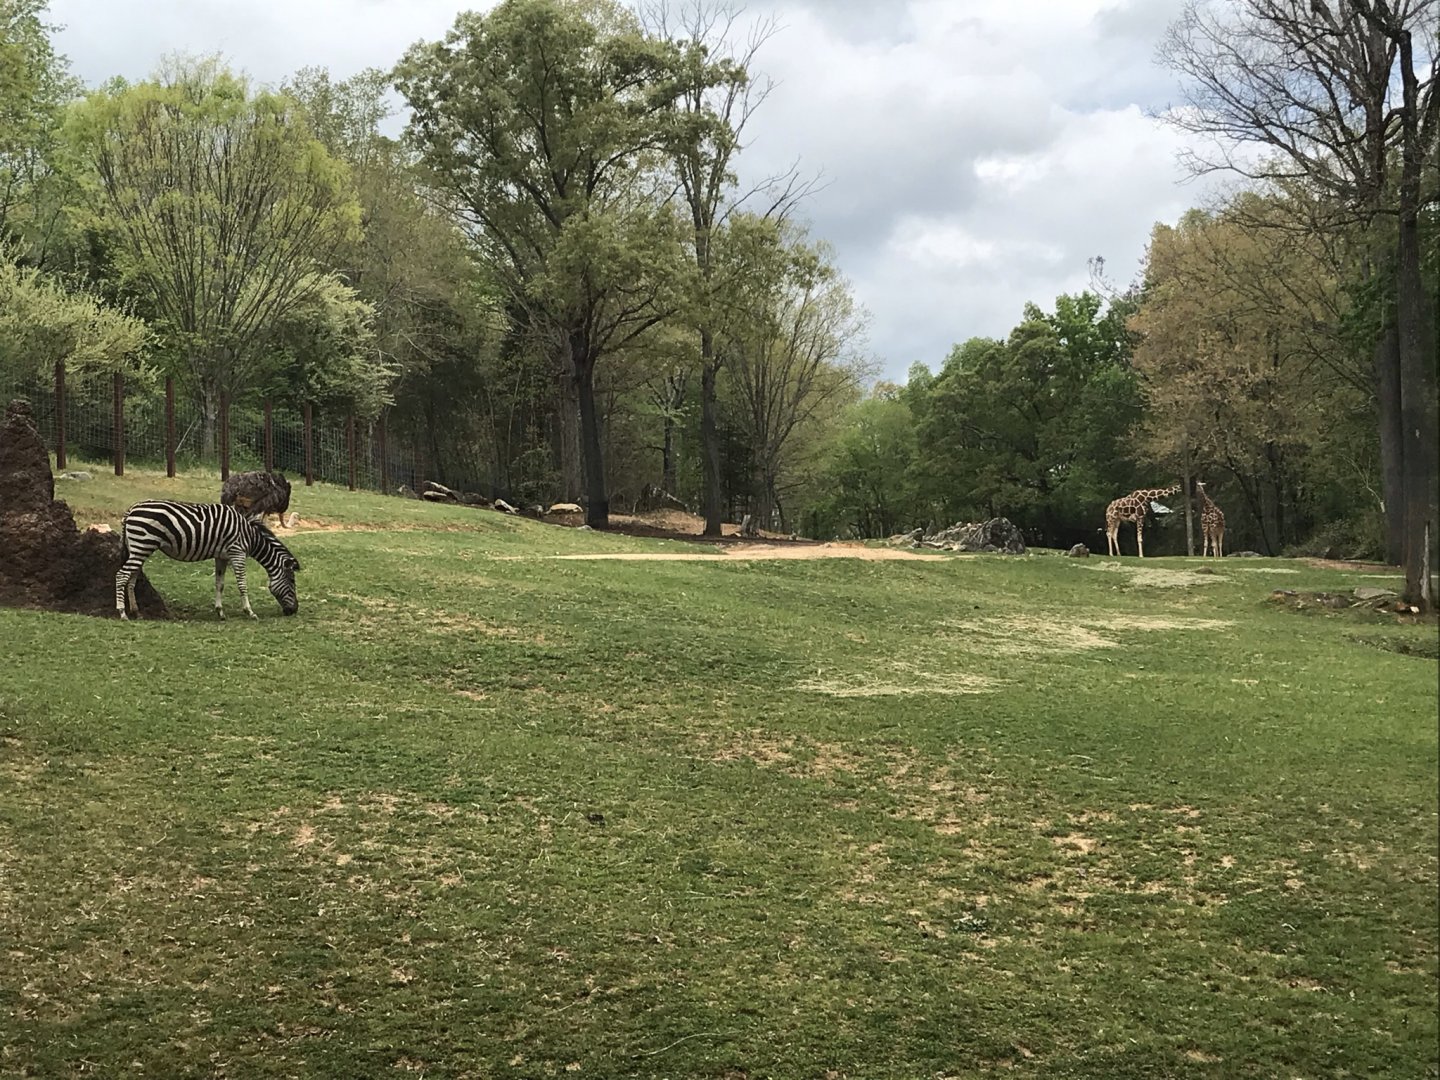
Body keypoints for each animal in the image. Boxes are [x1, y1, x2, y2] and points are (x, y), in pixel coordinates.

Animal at [115, 501, 301, 620]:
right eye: (292, 581)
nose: (294, 611)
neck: (250, 536)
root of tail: (131, 509)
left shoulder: (222, 556)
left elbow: (220, 584)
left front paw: (220, 612)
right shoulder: (238, 552)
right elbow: (242, 584)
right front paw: (250, 612)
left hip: (138, 548)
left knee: (131, 578)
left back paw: (136, 612)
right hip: (142, 546)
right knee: (121, 575)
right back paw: (122, 613)